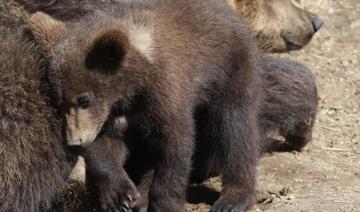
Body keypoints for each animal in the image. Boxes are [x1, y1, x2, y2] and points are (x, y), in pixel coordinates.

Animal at [28, 0, 262, 211]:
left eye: (84, 99)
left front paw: (165, 203)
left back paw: (233, 198)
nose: (74, 141)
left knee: (236, 129)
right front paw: (120, 196)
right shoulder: (117, 114)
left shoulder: (167, 92)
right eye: (58, 103)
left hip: (232, 69)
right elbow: (106, 146)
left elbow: (174, 148)